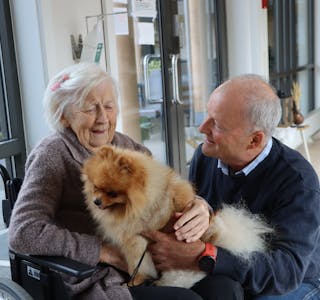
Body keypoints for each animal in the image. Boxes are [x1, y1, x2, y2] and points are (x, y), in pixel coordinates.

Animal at [82, 145, 272, 288]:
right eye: (96, 187)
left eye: (112, 193)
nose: (96, 201)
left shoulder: (136, 240)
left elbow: (137, 264)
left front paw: (135, 280)